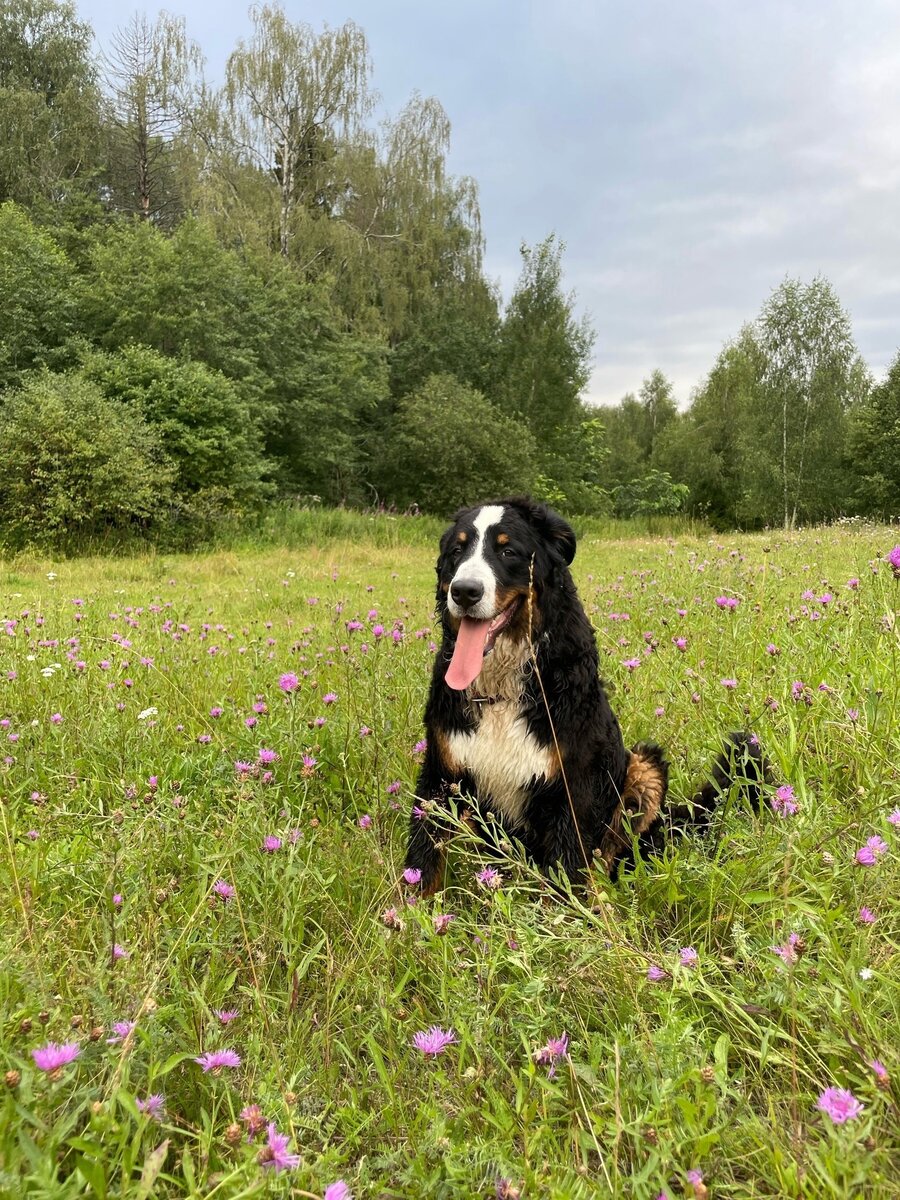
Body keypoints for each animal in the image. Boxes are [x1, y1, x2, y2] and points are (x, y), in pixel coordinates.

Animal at [408, 492, 768, 897]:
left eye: (508, 551)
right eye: (457, 550)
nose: (465, 591)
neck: (504, 684)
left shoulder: (575, 782)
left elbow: (568, 870)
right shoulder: (441, 771)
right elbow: (423, 858)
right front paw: (410, 911)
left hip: (643, 767)